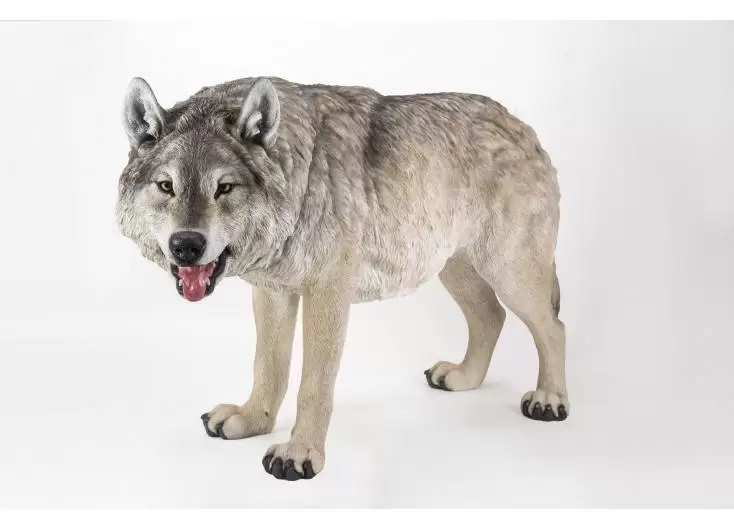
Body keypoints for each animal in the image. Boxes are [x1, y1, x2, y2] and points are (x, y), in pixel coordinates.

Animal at [116, 76, 567, 481]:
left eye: (224, 188)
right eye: (166, 186)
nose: (186, 245)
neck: (297, 184)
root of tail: (521, 125)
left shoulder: (327, 294)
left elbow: (313, 386)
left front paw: (300, 454)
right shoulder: (273, 291)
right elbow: (268, 367)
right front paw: (251, 420)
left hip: (510, 272)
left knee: (553, 327)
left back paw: (549, 399)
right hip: (454, 270)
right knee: (491, 317)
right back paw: (463, 378)